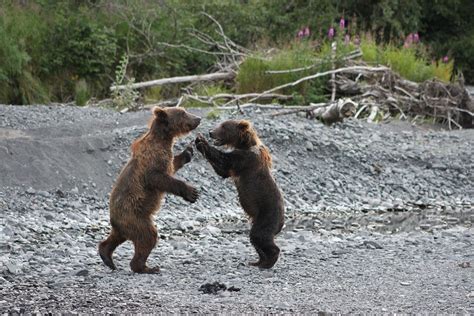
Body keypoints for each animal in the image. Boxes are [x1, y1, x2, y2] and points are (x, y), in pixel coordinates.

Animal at [99, 105, 201, 272]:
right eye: (183, 113)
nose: (198, 118)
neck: (164, 139)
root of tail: (114, 218)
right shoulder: (152, 160)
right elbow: (159, 178)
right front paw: (192, 192)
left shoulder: (166, 156)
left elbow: (173, 165)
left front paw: (188, 152)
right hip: (134, 215)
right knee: (148, 236)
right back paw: (146, 267)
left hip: (127, 222)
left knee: (117, 237)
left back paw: (107, 256)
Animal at [194, 119, 284, 268]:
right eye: (220, 124)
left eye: (224, 126)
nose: (211, 132)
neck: (244, 144)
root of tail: (282, 222)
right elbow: (222, 171)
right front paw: (198, 141)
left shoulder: (246, 159)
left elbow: (224, 160)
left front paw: (202, 141)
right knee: (255, 239)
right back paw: (257, 261)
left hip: (267, 215)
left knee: (259, 236)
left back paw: (268, 261)